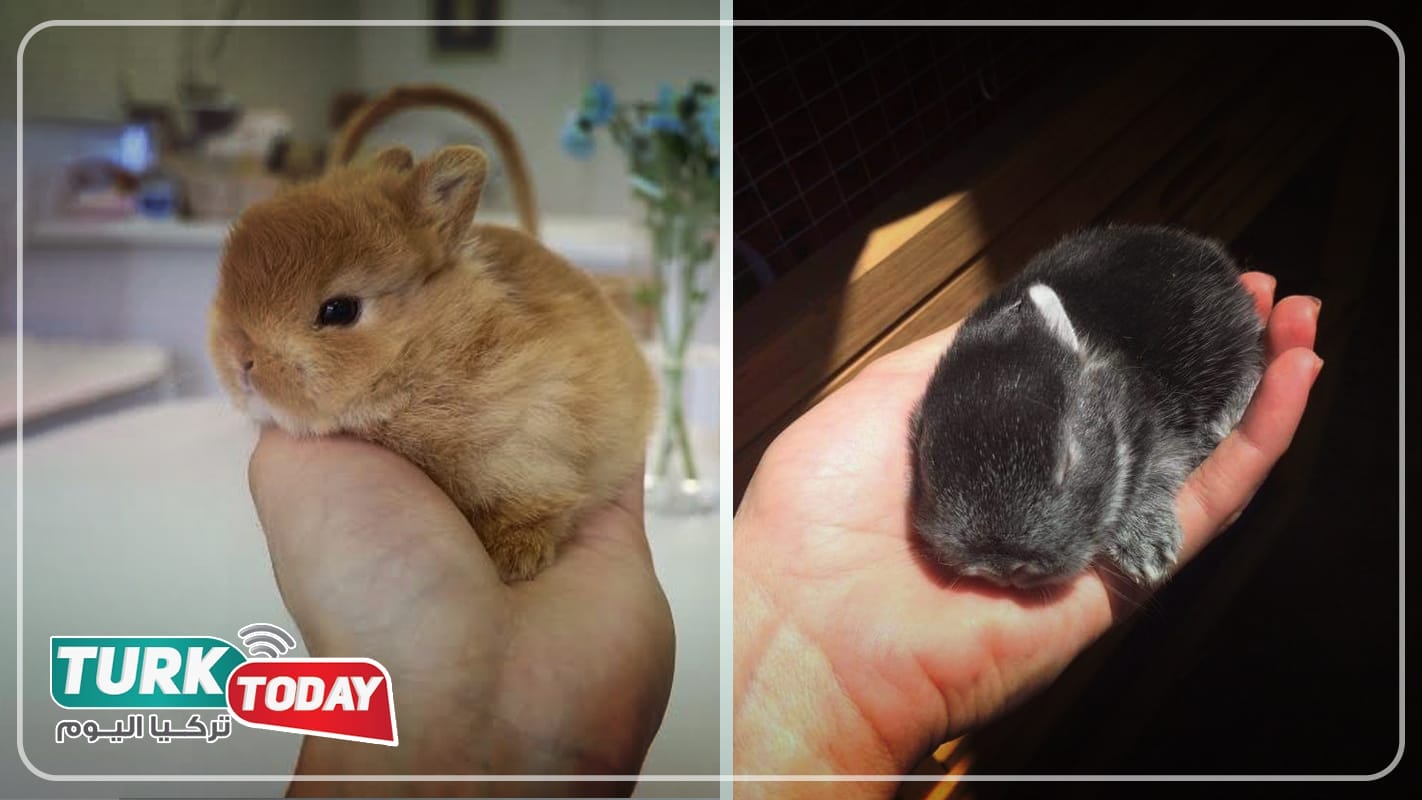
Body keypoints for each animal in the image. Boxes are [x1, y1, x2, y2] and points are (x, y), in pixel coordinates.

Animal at [208, 144, 656, 582]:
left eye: (339, 310)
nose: (240, 361)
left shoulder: (534, 438)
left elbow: (531, 504)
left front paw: (514, 557)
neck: (424, 348)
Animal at [909, 225, 1264, 588]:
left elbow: (1152, 475)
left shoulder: (1160, 429)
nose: (1003, 566)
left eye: (1068, 462)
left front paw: (1147, 553)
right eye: (926, 476)